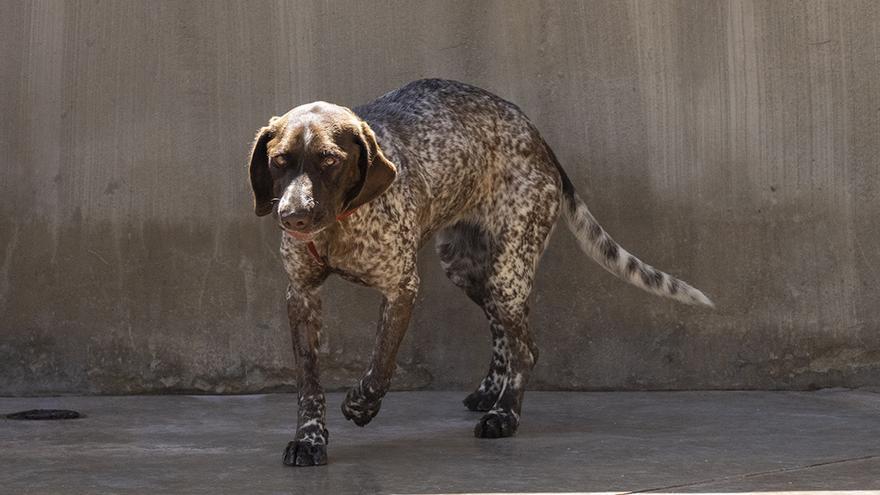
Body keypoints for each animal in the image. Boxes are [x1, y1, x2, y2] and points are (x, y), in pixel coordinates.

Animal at [248, 76, 716, 464]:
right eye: (279, 161)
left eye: (329, 160)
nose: (292, 216)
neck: (340, 227)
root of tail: (536, 135)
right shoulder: (302, 296)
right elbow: (309, 384)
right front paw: (309, 439)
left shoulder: (402, 289)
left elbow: (381, 362)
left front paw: (361, 405)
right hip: (471, 270)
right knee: (507, 335)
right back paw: (492, 392)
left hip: (508, 271)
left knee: (526, 348)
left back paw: (504, 415)